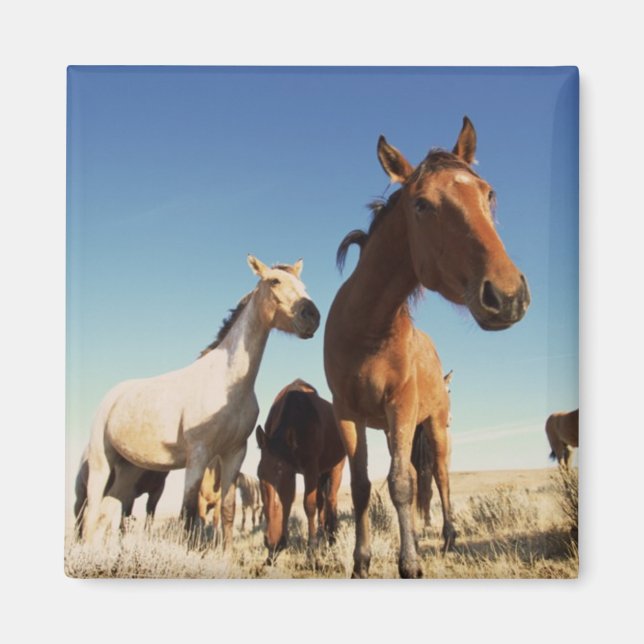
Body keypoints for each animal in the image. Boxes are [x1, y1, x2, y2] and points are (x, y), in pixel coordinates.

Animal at [81, 255, 320, 548]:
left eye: (303, 286)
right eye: (274, 281)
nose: (312, 316)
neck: (228, 382)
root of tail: (112, 396)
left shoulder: (234, 453)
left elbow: (227, 510)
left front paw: (226, 554)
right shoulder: (198, 455)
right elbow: (188, 515)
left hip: (129, 470)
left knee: (106, 512)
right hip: (101, 463)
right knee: (92, 512)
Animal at [256, 379, 346, 561]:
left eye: (289, 476)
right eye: (259, 475)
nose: (272, 542)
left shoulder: (310, 470)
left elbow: (309, 506)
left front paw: (311, 551)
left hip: (335, 470)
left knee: (331, 500)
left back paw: (331, 542)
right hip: (321, 475)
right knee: (322, 503)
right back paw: (322, 538)